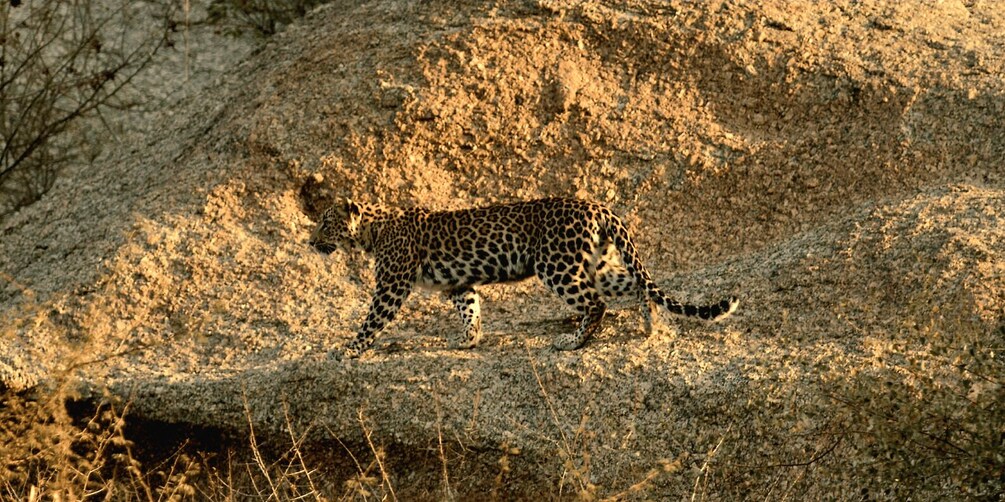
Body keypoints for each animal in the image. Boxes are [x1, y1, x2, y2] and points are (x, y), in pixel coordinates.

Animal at [309, 197, 738, 359]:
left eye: (326, 222)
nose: (310, 241)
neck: (372, 230)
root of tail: (595, 204)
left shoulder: (392, 285)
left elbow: (371, 321)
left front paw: (348, 349)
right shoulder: (458, 285)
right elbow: (470, 308)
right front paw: (468, 340)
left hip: (557, 265)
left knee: (596, 304)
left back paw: (573, 341)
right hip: (597, 265)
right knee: (636, 286)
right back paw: (653, 327)